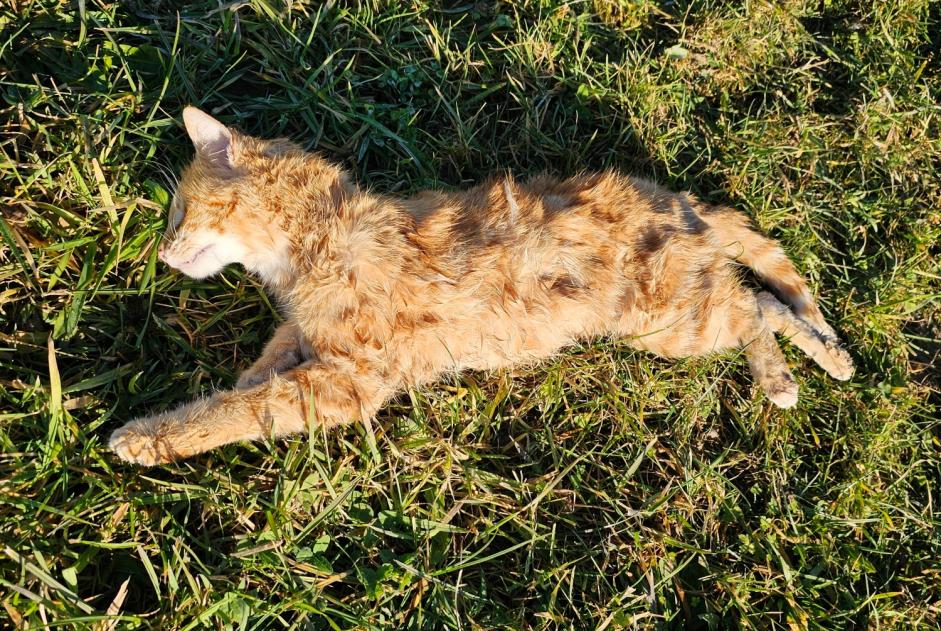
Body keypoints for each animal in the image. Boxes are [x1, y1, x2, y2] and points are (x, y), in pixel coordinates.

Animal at [108, 107, 852, 464]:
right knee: (764, 297)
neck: (314, 241)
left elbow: (238, 412)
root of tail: (675, 199)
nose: (164, 249)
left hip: (670, 322)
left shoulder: (347, 383)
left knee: (750, 305)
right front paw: (230, 383)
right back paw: (827, 353)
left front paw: (147, 439)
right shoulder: (307, 342)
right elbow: (257, 370)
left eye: (180, 210)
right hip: (677, 313)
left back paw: (784, 376)